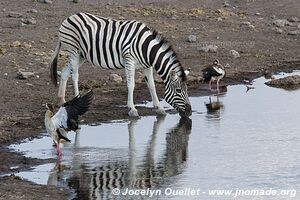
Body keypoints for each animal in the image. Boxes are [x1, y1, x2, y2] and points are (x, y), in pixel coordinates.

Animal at [48, 12, 190, 118]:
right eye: (179, 91)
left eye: (186, 90)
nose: (189, 112)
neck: (147, 48)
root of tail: (69, 17)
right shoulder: (129, 61)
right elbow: (131, 85)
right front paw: (132, 109)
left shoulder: (147, 66)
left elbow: (152, 85)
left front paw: (159, 108)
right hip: (73, 51)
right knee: (75, 75)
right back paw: (77, 101)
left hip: (82, 55)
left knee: (65, 72)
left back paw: (61, 100)